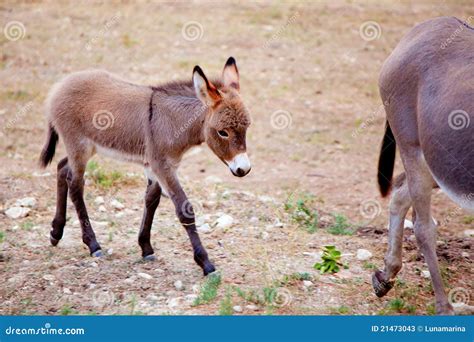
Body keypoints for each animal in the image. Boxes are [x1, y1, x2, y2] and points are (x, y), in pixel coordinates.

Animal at [39, 56, 252, 276]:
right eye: (223, 132)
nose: (244, 169)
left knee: (62, 168)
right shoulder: (162, 166)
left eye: (247, 127)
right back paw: (93, 244)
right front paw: (206, 263)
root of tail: (60, 85)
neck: (173, 122)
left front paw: (146, 247)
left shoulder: (157, 166)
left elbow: (151, 200)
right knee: (75, 185)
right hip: (78, 146)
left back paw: (56, 232)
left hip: (86, 148)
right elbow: (184, 209)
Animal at [372, 17, 472, 314]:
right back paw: (444, 307)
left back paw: (386, 276)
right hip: (412, 148)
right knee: (423, 228)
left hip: (439, 166)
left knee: (400, 192)